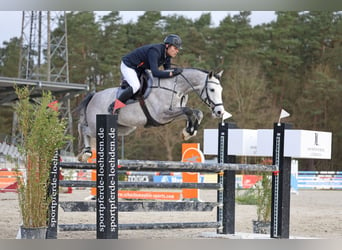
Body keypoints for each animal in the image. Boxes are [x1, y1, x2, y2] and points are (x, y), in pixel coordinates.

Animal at [76, 68, 228, 162]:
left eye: (221, 90)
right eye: (212, 89)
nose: (219, 112)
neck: (176, 88)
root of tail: (94, 95)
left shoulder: (171, 114)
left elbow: (196, 112)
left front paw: (188, 132)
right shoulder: (162, 115)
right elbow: (189, 111)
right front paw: (188, 131)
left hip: (123, 129)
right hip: (95, 126)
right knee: (83, 128)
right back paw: (86, 153)